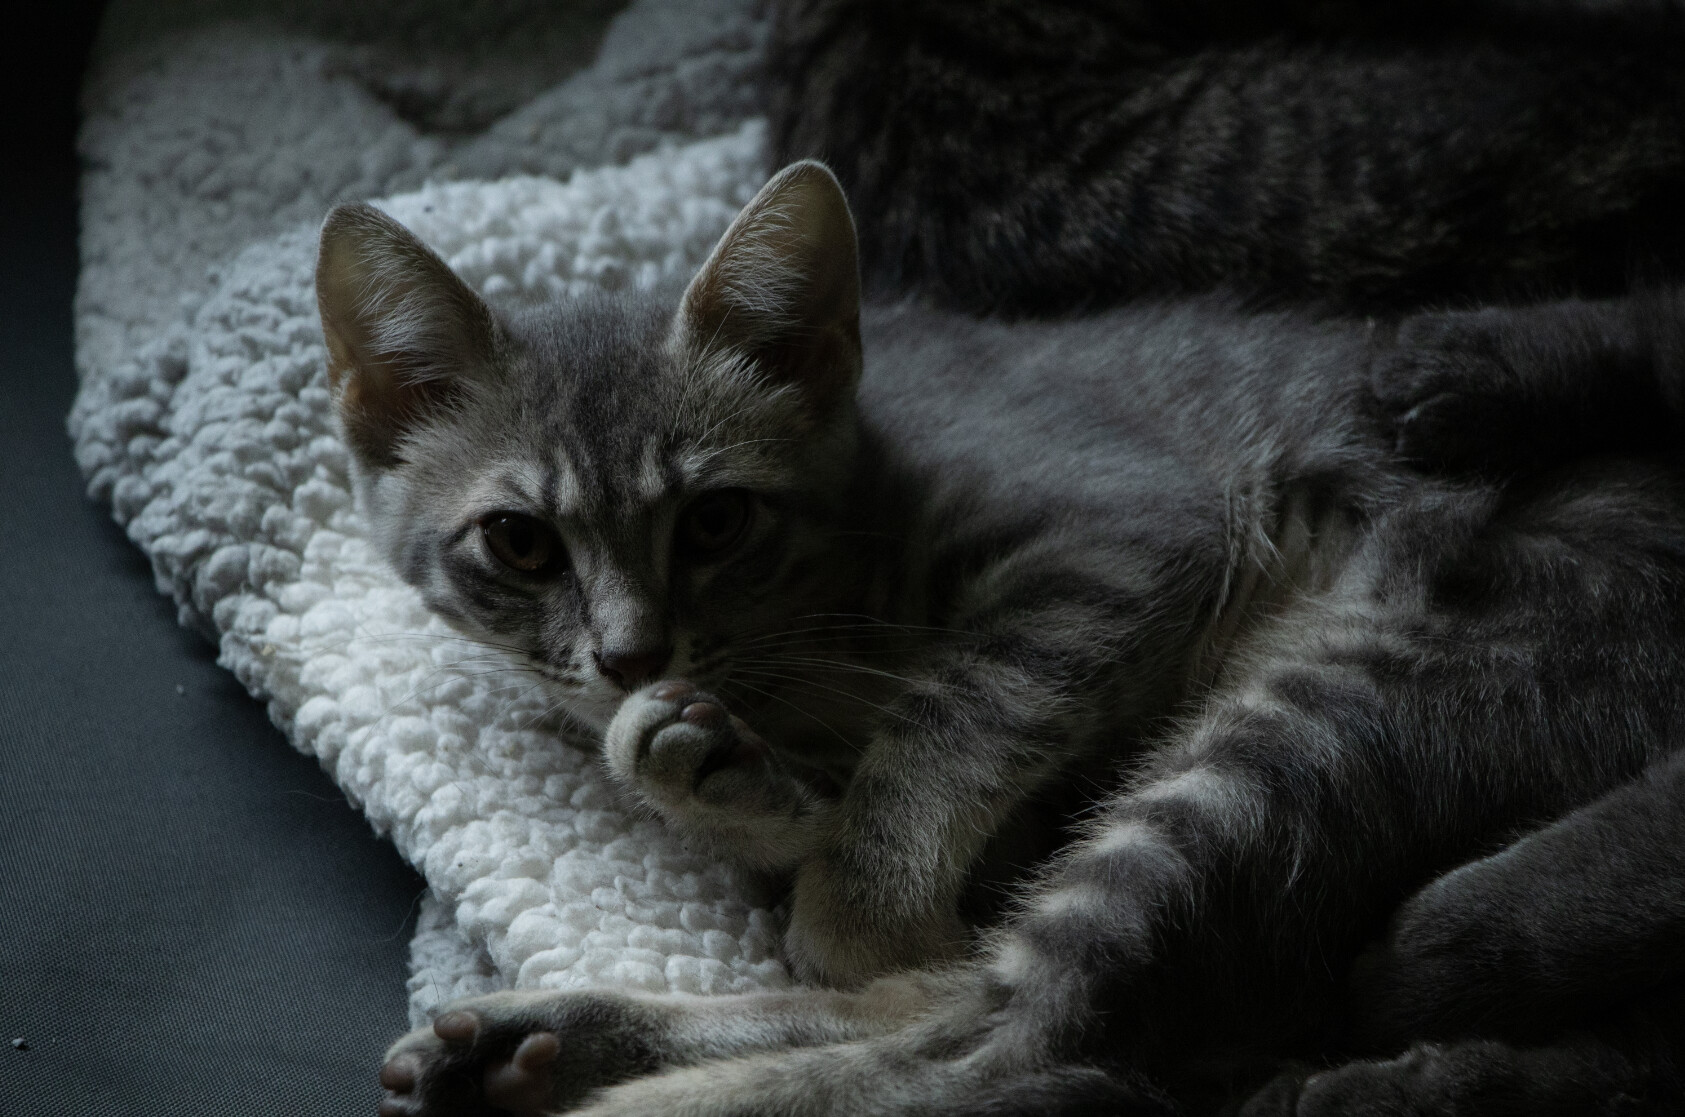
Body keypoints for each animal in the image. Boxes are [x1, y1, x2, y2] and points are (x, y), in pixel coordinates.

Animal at [318, 161, 1685, 1111]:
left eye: (713, 520)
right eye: (520, 543)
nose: (631, 655)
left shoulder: (1120, 534)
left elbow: (951, 718)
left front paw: (843, 877)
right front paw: (737, 781)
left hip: (1328, 719)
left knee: (1008, 1040)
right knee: (964, 997)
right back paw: (545, 1044)